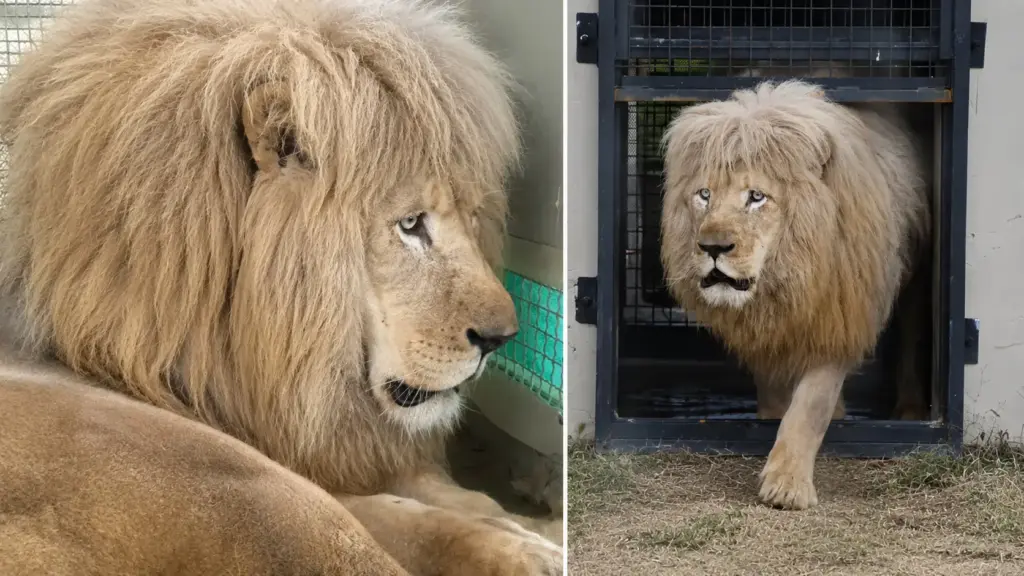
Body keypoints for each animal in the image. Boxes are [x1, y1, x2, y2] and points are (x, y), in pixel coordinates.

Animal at [0, 0, 562, 573]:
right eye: (410, 224)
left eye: (471, 216)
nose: (501, 340)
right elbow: (419, 521)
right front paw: (525, 549)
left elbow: (462, 497)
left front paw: (537, 523)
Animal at [659, 80, 932, 510]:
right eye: (704, 194)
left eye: (756, 197)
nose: (712, 247)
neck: (786, 278)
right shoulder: (763, 330)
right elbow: (775, 394)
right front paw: (771, 426)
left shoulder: (838, 319)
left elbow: (810, 407)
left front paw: (787, 485)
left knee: (910, 344)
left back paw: (908, 410)